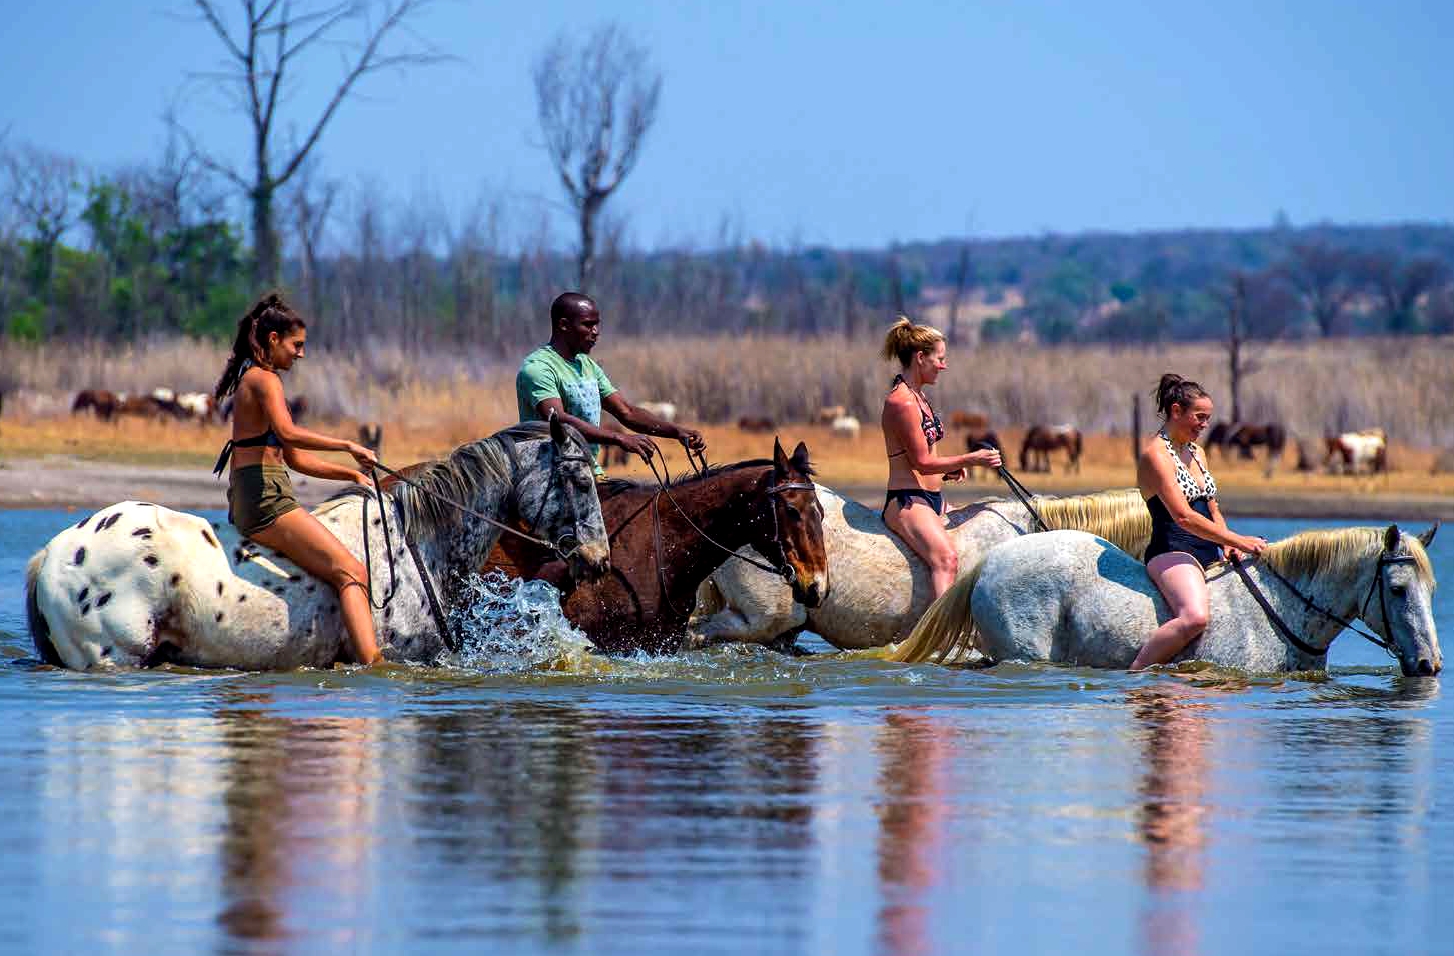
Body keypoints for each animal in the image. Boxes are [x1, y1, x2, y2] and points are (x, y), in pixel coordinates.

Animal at [892, 524, 1440, 676]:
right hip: (1022, 651)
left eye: (1431, 590)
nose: (1430, 665)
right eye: (1397, 590)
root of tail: (993, 558)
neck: (1279, 610)